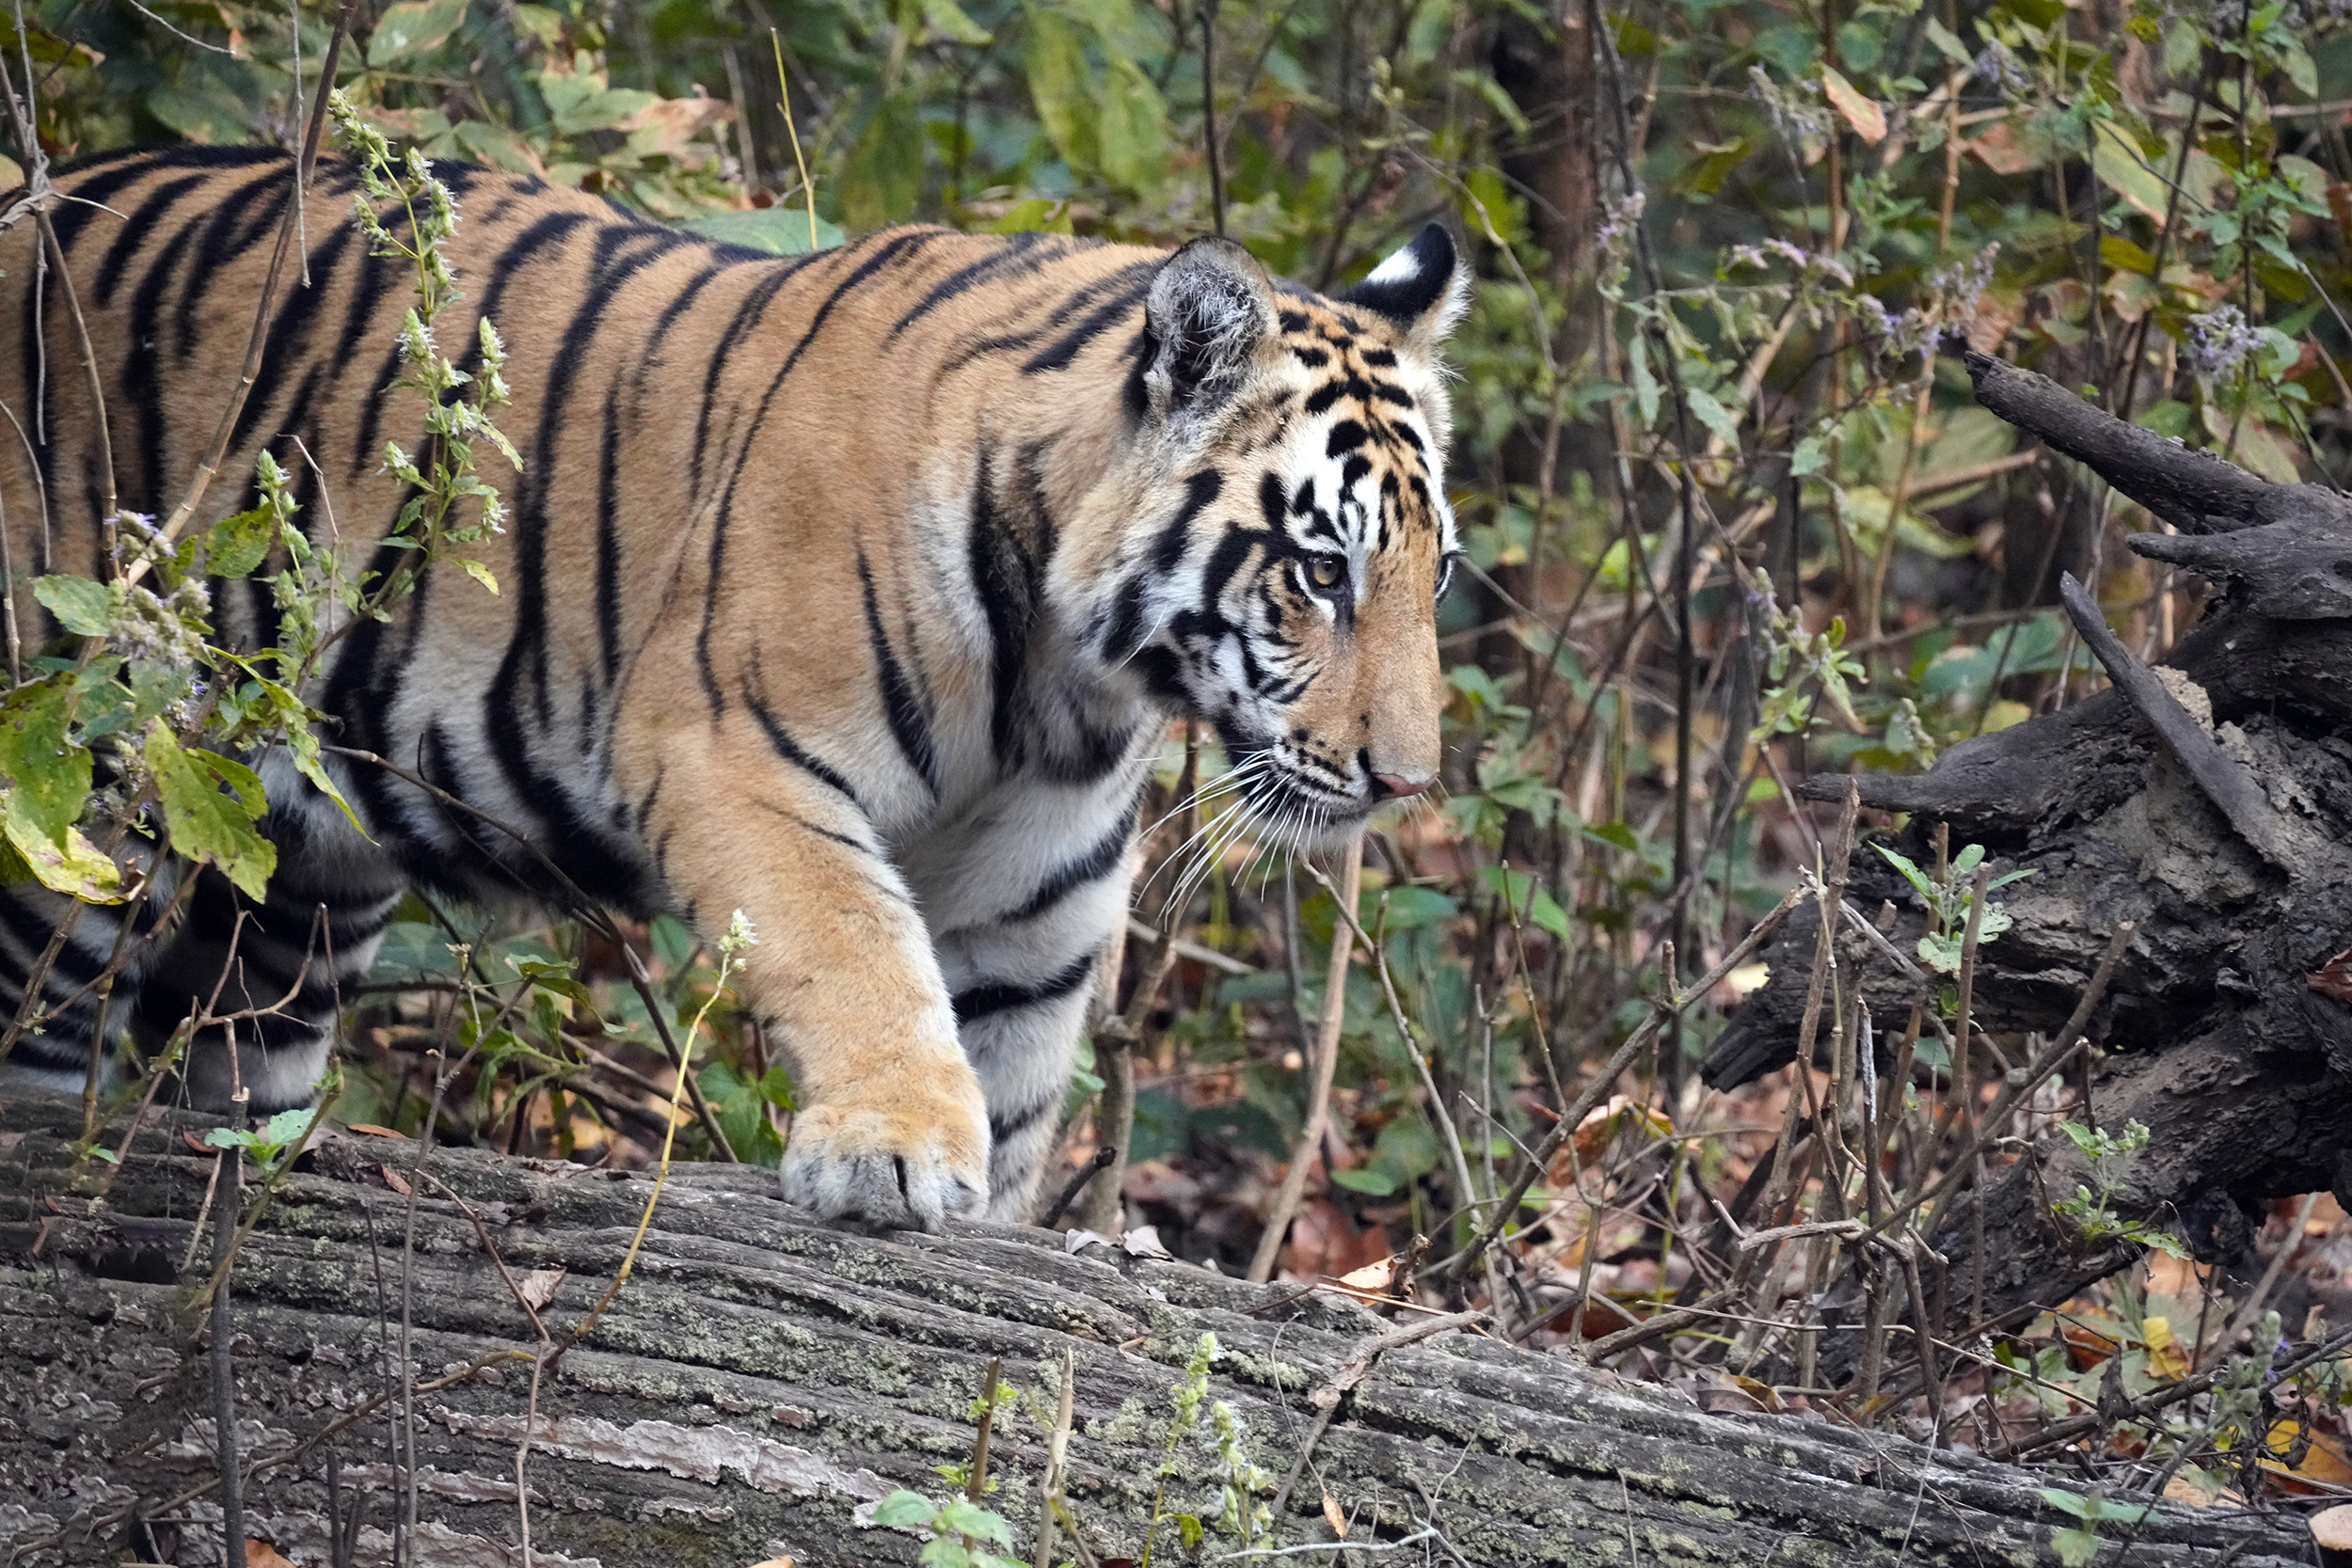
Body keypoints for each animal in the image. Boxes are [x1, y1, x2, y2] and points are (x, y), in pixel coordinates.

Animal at [0, 144, 1465, 1229]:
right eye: (1321, 569)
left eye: (1434, 573)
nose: (1407, 781)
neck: (1066, 683)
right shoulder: (729, 746)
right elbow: (856, 944)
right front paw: (891, 1148)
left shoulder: (1038, 903)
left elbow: (1014, 1070)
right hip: (76, 790)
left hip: (292, 889)